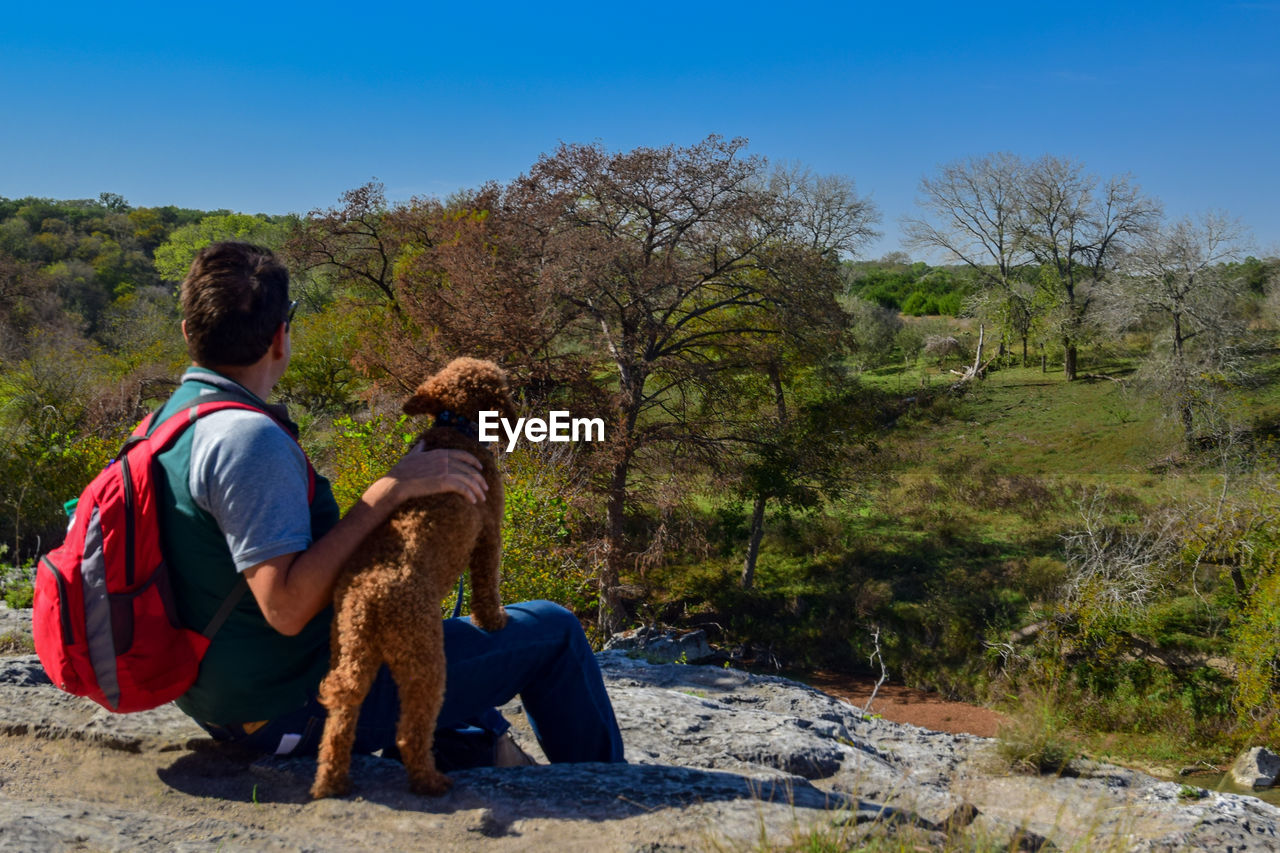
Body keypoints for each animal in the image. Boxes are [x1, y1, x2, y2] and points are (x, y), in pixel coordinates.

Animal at [311, 356, 514, 794]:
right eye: (500, 383)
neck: (455, 427)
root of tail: (367, 598)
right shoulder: (488, 529)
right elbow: (486, 581)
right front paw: (493, 620)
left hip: (349, 651)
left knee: (340, 719)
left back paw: (332, 781)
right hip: (425, 657)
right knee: (409, 732)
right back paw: (430, 781)